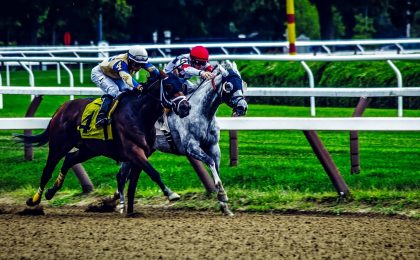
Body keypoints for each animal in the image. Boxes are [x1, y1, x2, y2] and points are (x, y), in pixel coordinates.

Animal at [14, 72, 191, 214]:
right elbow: (153, 173)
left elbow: (133, 182)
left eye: (183, 85)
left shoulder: (142, 154)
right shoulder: (134, 151)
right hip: (58, 146)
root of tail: (62, 108)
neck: (139, 114)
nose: (185, 107)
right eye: (168, 86)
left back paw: (51, 192)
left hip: (89, 149)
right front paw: (171, 194)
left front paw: (130, 210)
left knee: (69, 160)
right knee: (47, 171)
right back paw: (34, 200)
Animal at [115, 62, 248, 215]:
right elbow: (210, 162)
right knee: (121, 176)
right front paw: (222, 195)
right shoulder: (191, 147)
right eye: (229, 86)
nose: (242, 107)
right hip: (133, 149)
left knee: (126, 175)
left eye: (242, 83)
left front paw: (224, 206)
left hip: (145, 151)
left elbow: (216, 167)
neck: (201, 113)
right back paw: (120, 205)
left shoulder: (213, 146)